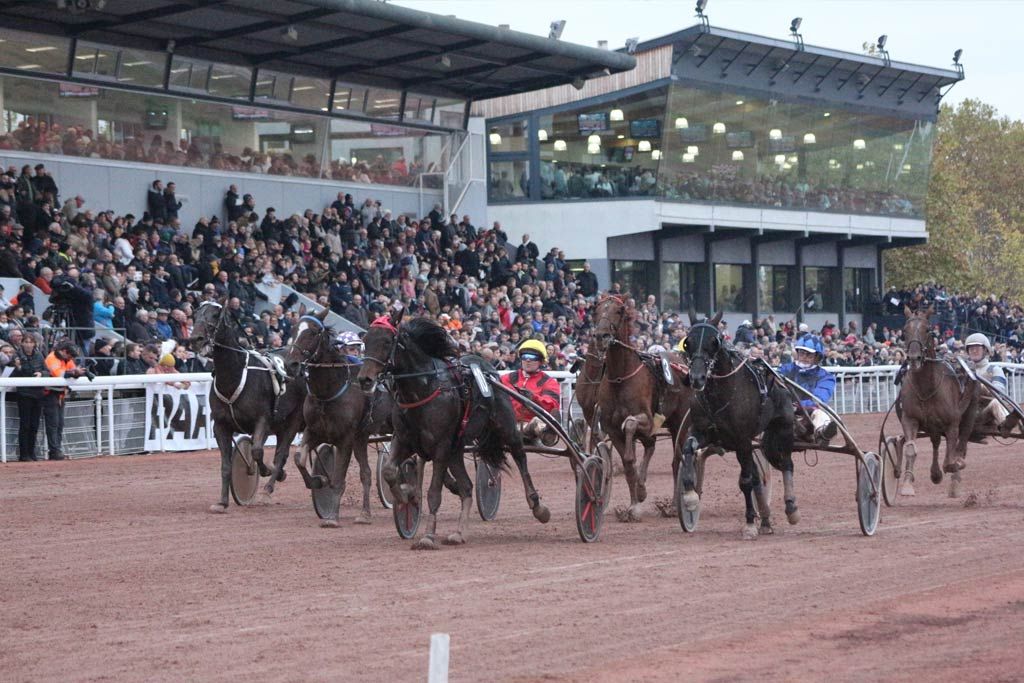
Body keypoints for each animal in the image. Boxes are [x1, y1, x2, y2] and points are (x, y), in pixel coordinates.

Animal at [589, 294, 692, 524]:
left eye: (619, 310)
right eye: (596, 309)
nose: (600, 336)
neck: (620, 377)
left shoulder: (646, 418)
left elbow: (629, 424)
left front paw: (639, 499)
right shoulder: (611, 429)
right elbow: (629, 463)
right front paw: (634, 503)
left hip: (679, 424)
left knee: (676, 460)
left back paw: (674, 505)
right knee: (651, 445)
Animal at [901, 307, 978, 499]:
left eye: (928, 329)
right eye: (904, 331)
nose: (914, 358)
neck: (926, 388)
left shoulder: (952, 423)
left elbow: (951, 461)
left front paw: (956, 467)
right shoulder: (910, 419)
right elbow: (910, 449)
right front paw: (907, 484)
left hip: (970, 409)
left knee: (962, 441)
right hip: (933, 425)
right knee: (936, 443)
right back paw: (936, 473)